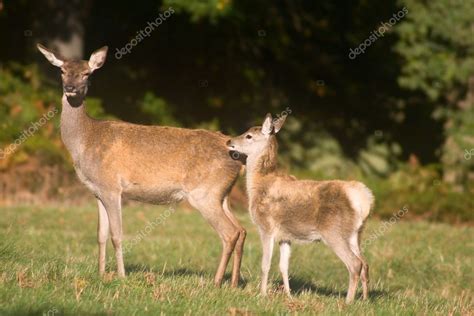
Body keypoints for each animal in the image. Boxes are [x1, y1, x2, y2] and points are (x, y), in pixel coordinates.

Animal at [36, 43, 244, 286]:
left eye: (87, 73)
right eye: (62, 71)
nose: (70, 88)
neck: (85, 141)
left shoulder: (112, 187)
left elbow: (116, 235)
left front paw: (121, 276)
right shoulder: (97, 191)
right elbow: (100, 235)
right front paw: (100, 274)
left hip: (205, 193)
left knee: (229, 233)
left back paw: (216, 282)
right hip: (222, 194)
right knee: (241, 230)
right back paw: (233, 283)